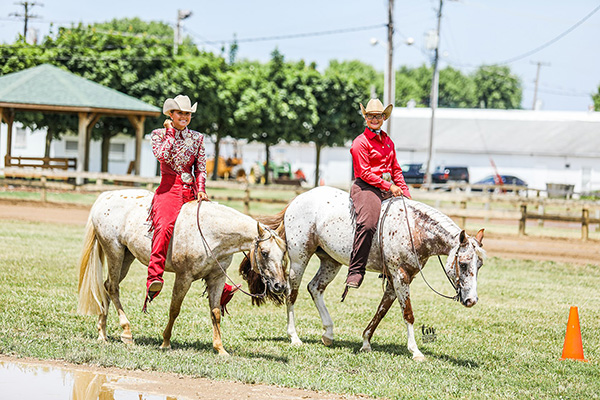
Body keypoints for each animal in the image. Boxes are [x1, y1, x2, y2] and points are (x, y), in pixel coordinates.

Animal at [78, 189, 288, 354]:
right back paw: (126, 332)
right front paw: (165, 342)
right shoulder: (184, 277)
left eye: (284, 252)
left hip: (127, 257)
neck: (211, 233)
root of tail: (105, 197)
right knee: (113, 288)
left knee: (107, 286)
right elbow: (174, 309)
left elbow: (215, 312)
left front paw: (220, 349)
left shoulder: (217, 277)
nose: (279, 285)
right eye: (264, 252)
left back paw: (102, 333)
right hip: (114, 251)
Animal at [241, 186, 486, 360]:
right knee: (291, 293)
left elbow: (382, 310)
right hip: (299, 259)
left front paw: (366, 342)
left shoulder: (397, 279)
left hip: (331, 262)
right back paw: (294, 337)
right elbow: (407, 313)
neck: (414, 228)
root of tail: (296, 201)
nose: (472, 300)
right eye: (464, 264)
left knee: (315, 287)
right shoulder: (400, 276)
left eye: (479, 265)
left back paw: (328, 333)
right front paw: (415, 351)